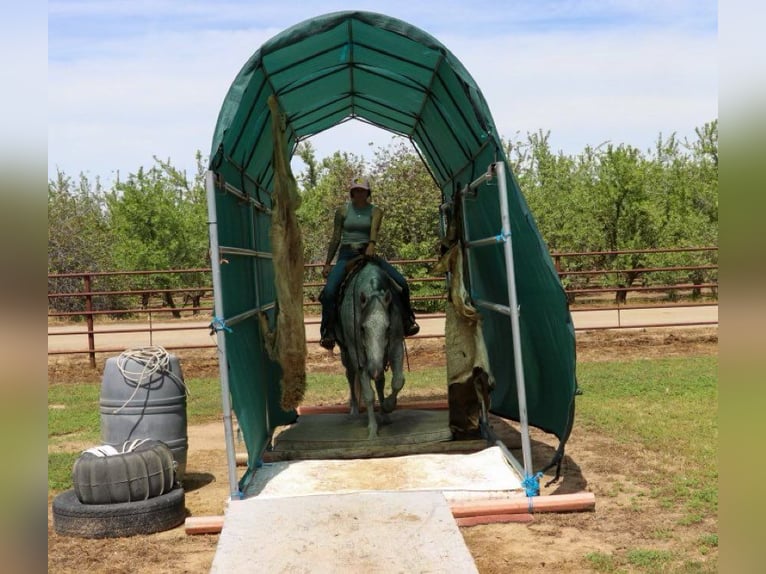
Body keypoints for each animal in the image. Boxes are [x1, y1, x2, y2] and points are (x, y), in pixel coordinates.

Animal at [338, 260, 408, 440]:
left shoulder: (395, 345)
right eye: (362, 328)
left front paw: (389, 405)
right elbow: (368, 394)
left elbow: (398, 380)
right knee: (350, 376)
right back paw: (354, 409)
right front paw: (372, 429)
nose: (374, 370)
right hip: (346, 354)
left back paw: (384, 413)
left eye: (388, 328)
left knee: (380, 382)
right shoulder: (359, 357)